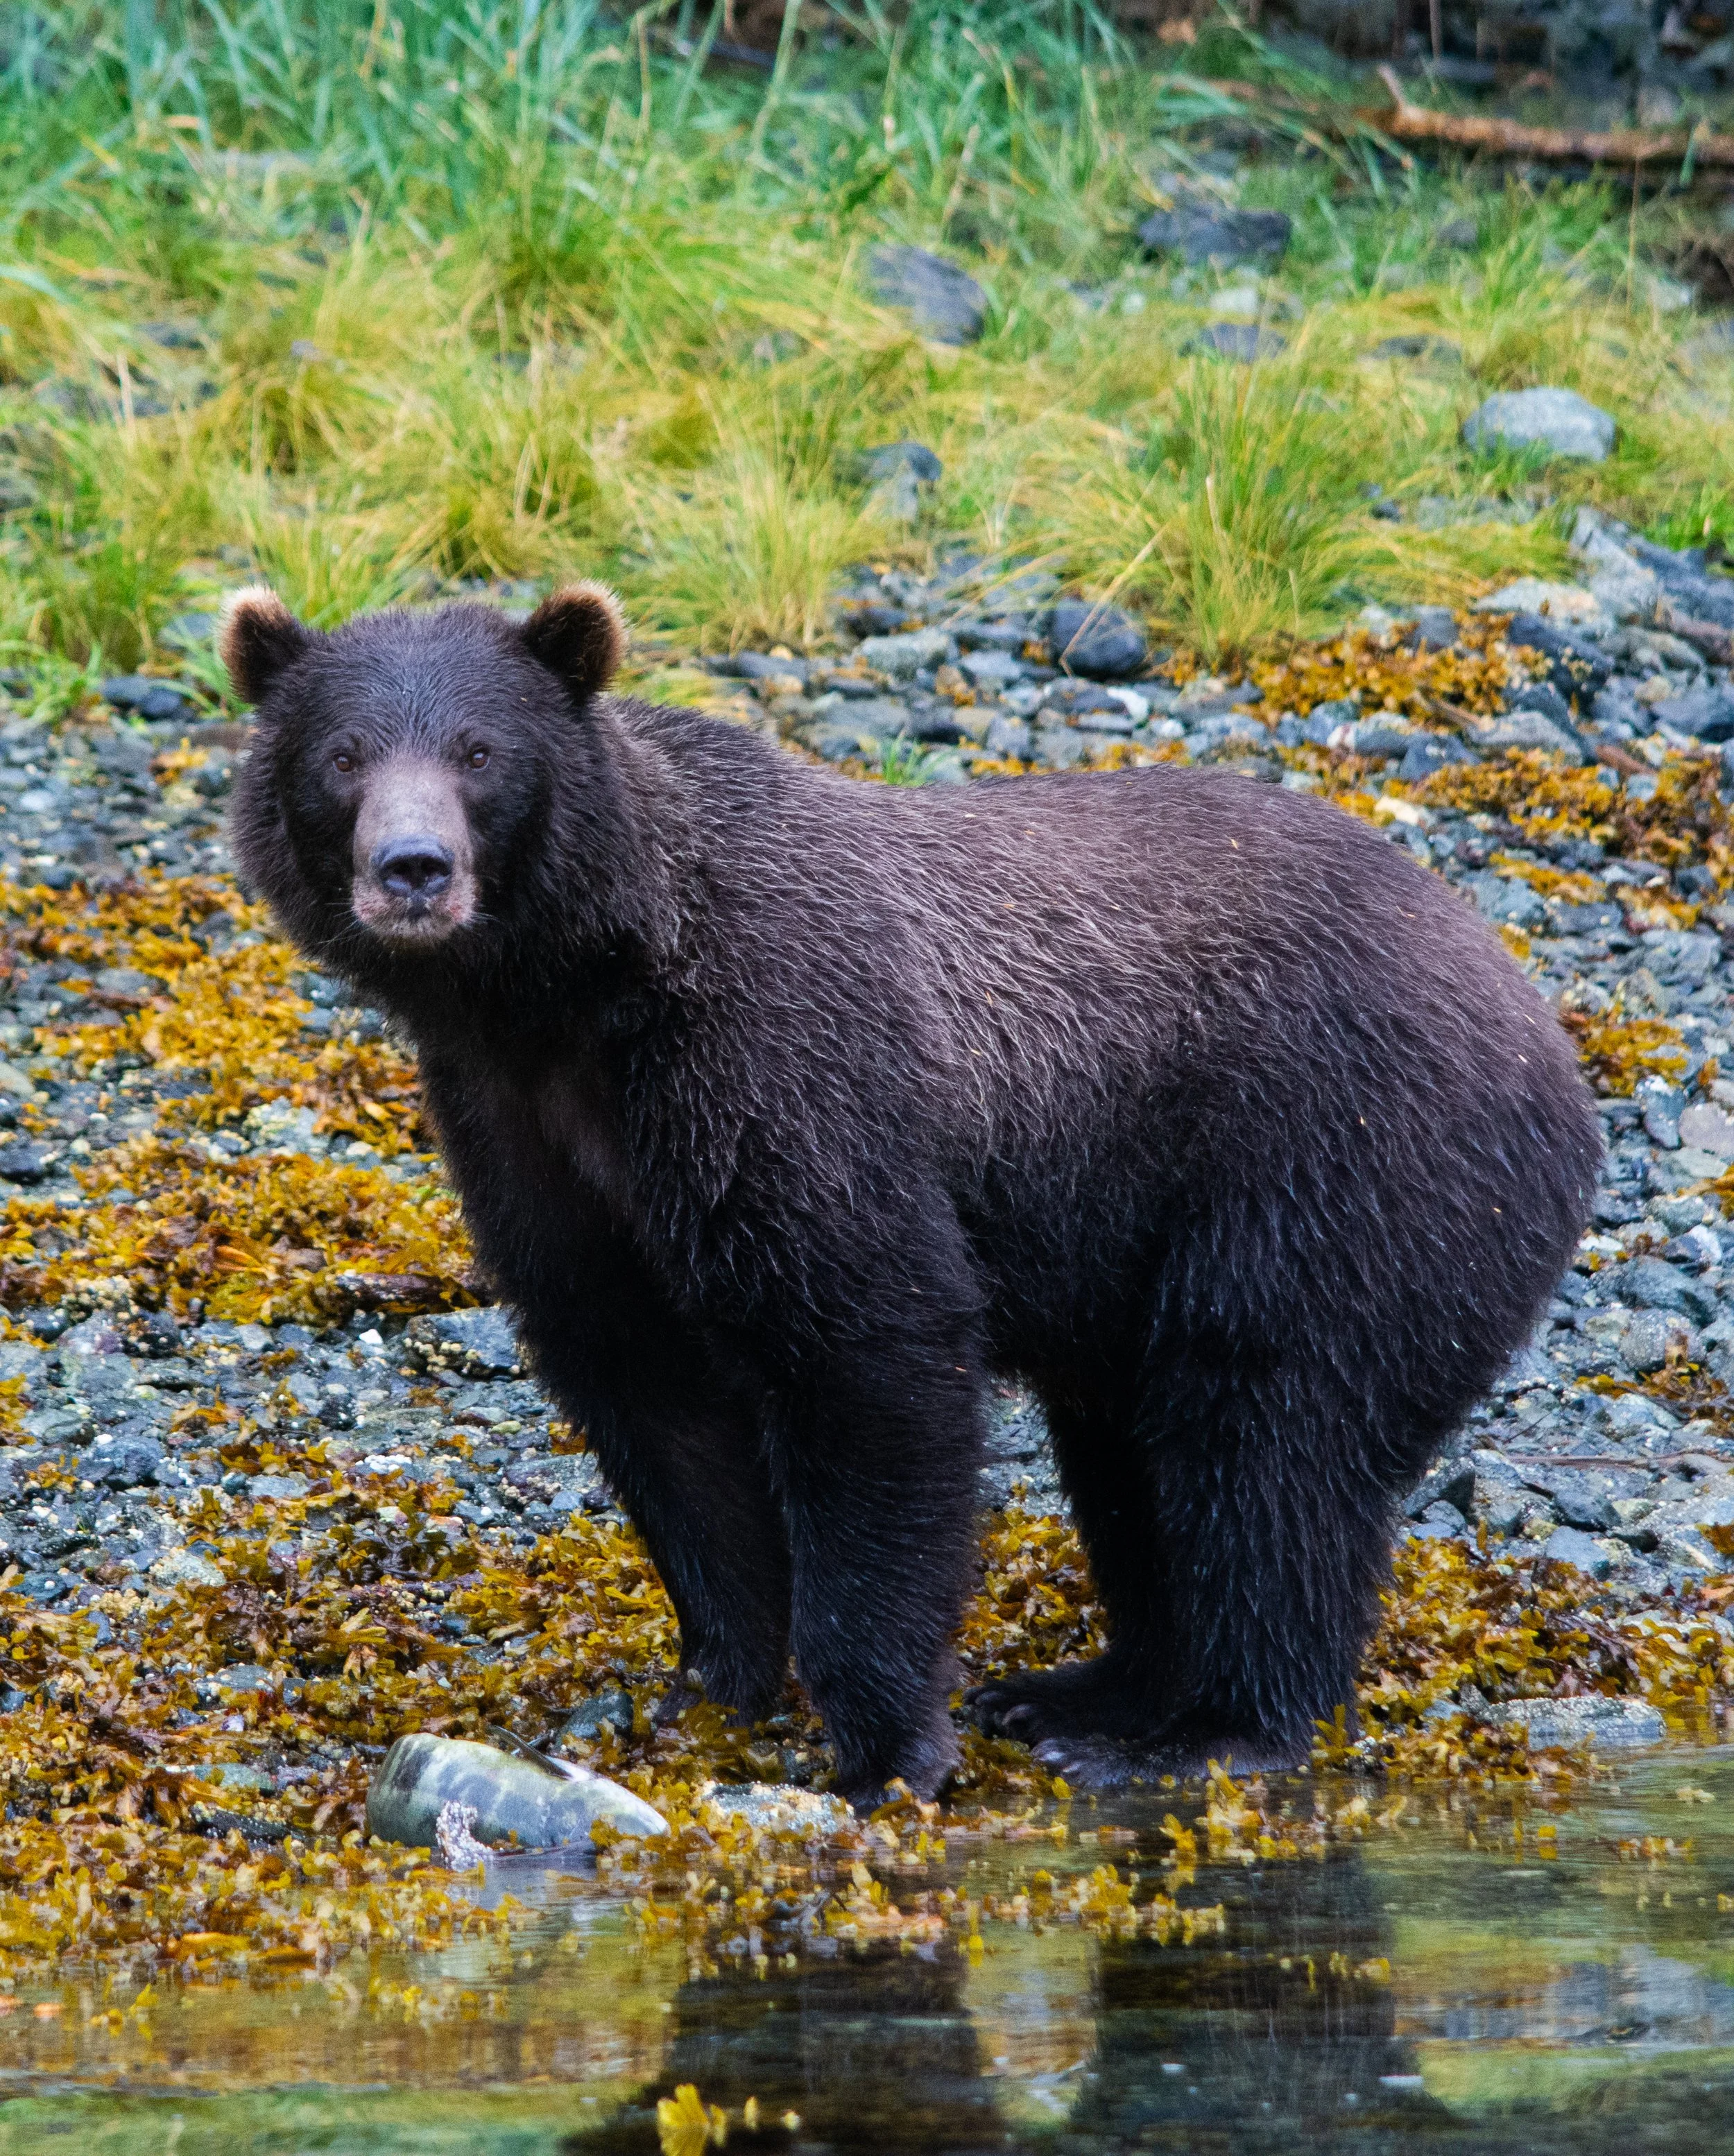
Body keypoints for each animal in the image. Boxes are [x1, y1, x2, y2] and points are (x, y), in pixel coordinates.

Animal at [224, 580, 1603, 1808]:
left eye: (479, 750)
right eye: (344, 753)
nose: (413, 867)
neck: (573, 992)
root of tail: (1543, 1027)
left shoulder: (783, 1068)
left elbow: (867, 1360)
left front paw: (884, 1743)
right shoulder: (534, 1143)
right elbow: (653, 1402)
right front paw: (704, 1680)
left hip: (1338, 1164)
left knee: (1267, 1432)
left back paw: (1208, 1729)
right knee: (1134, 1446)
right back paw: (1085, 1685)